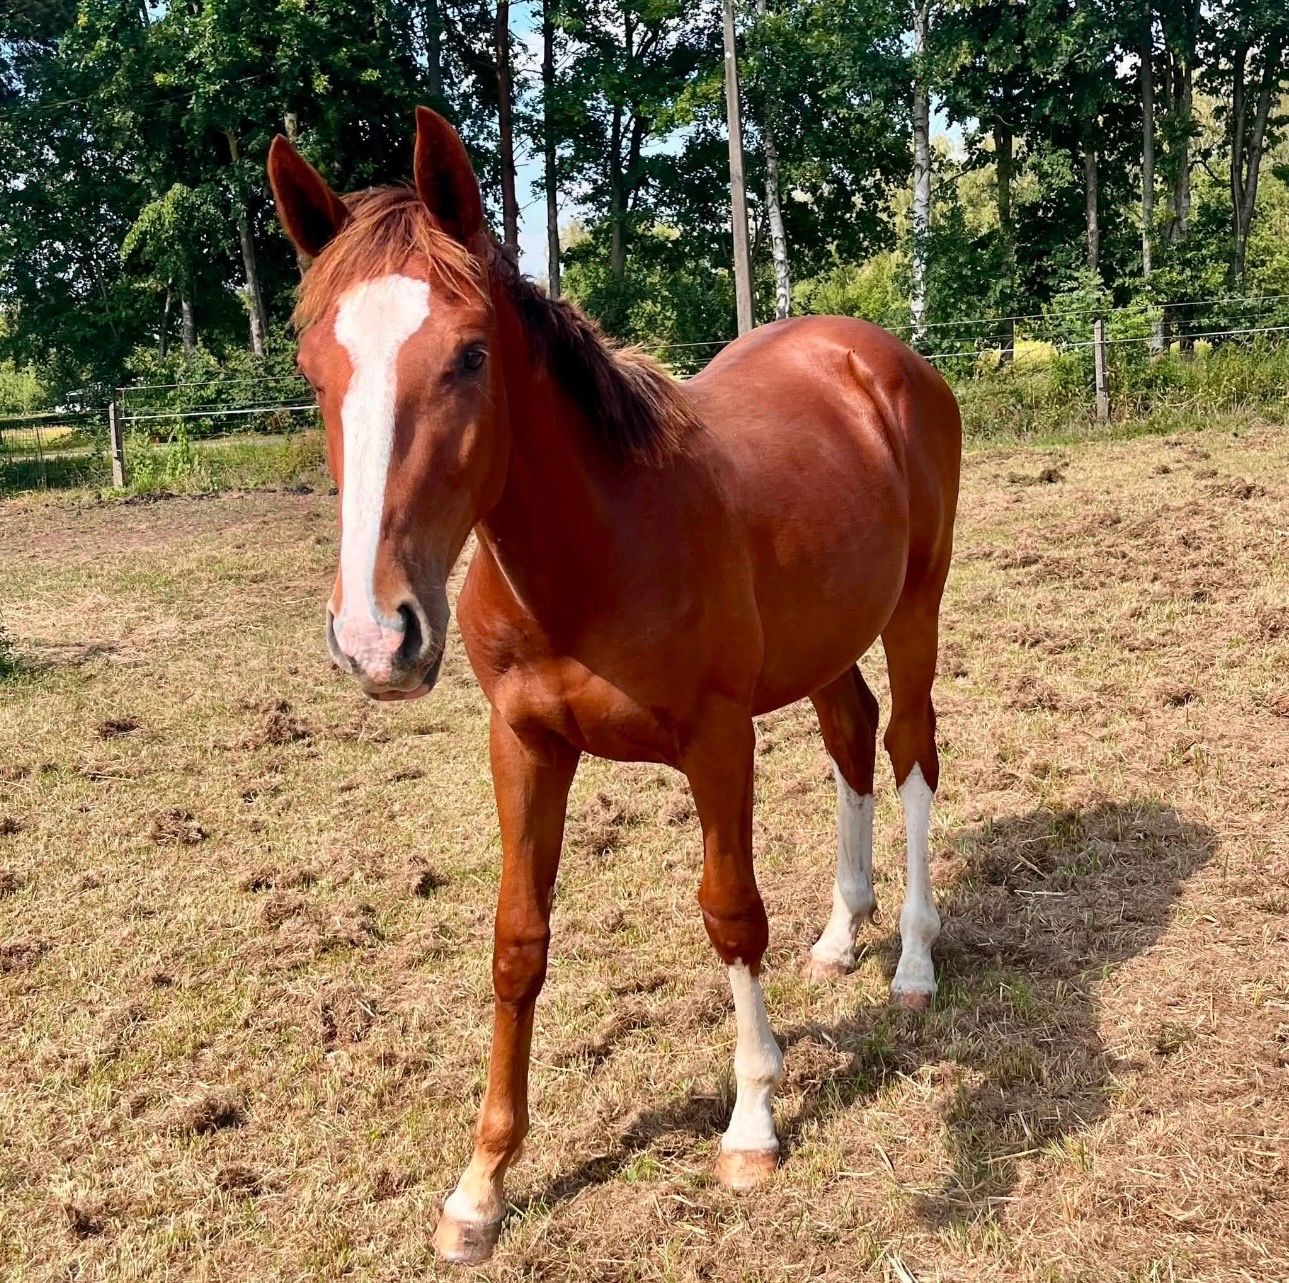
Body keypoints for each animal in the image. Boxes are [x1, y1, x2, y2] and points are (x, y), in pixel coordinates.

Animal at [268, 107, 961, 1265]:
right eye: (313, 365)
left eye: (468, 355)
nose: (375, 635)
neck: (596, 551)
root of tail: (879, 357)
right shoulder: (523, 742)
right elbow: (517, 941)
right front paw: (481, 1183)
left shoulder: (717, 741)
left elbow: (730, 913)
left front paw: (751, 1122)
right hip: (822, 645)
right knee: (851, 737)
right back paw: (838, 937)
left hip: (914, 611)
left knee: (909, 753)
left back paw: (910, 961)